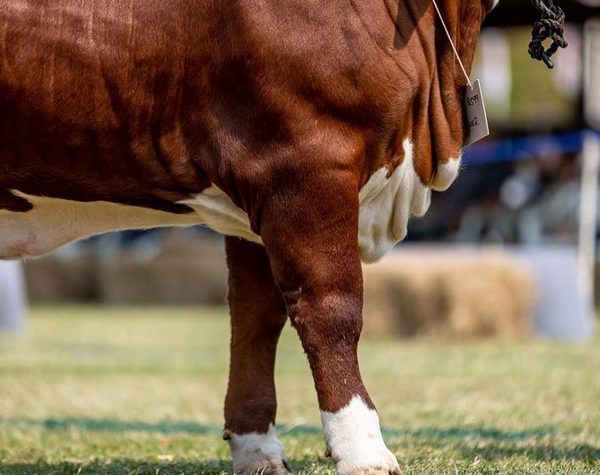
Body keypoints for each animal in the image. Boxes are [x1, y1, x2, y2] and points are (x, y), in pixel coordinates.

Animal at [0, 1, 496, 474]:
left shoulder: (257, 204)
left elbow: (255, 317)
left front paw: (257, 450)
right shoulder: (301, 164)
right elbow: (332, 309)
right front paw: (363, 451)